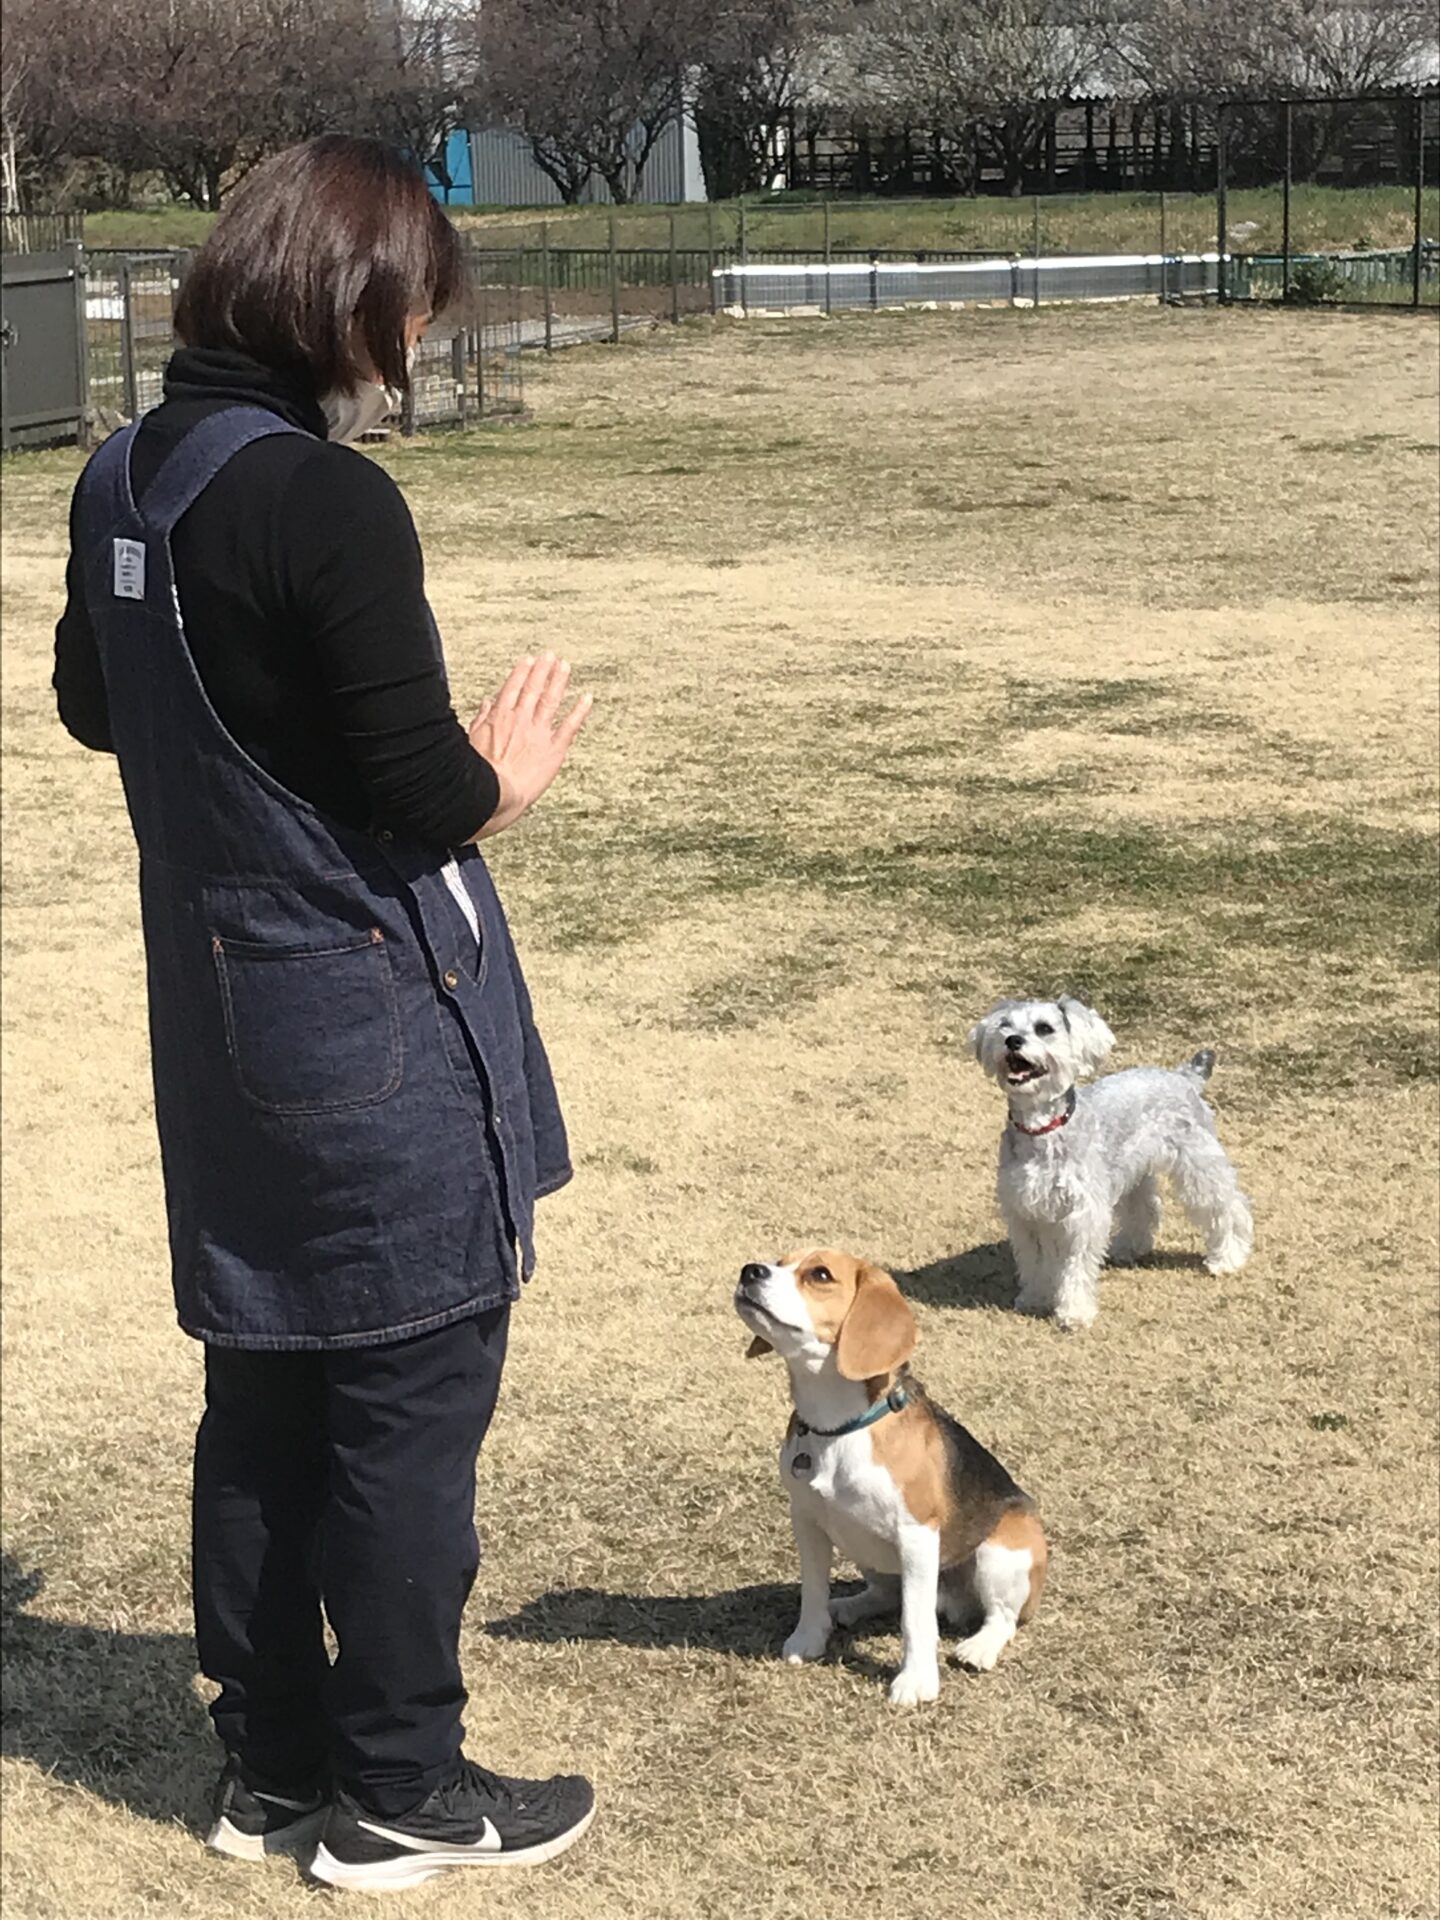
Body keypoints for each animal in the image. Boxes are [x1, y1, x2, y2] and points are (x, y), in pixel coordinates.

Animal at [734, 1249, 1047, 1705]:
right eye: (779, 1261)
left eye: (820, 1275)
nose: (750, 1271)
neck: (839, 1427)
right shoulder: (807, 1521)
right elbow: (813, 1590)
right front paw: (808, 1638)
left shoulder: (916, 1534)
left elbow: (914, 1618)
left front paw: (915, 1681)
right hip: (864, 1549)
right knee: (883, 1593)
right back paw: (846, 1606)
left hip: (1003, 1552)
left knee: (1001, 1617)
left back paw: (978, 1647)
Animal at [968, 996, 1254, 1331]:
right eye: (1005, 1025)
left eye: (1044, 1028)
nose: (1012, 1040)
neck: (1042, 1129)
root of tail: (1183, 1076)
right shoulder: (1025, 1210)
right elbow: (1035, 1261)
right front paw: (1035, 1298)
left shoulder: (1083, 1214)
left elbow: (1075, 1267)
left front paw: (1074, 1313)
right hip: (1133, 1170)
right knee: (1145, 1208)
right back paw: (1129, 1247)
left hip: (1199, 1166)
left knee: (1229, 1207)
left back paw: (1227, 1258)